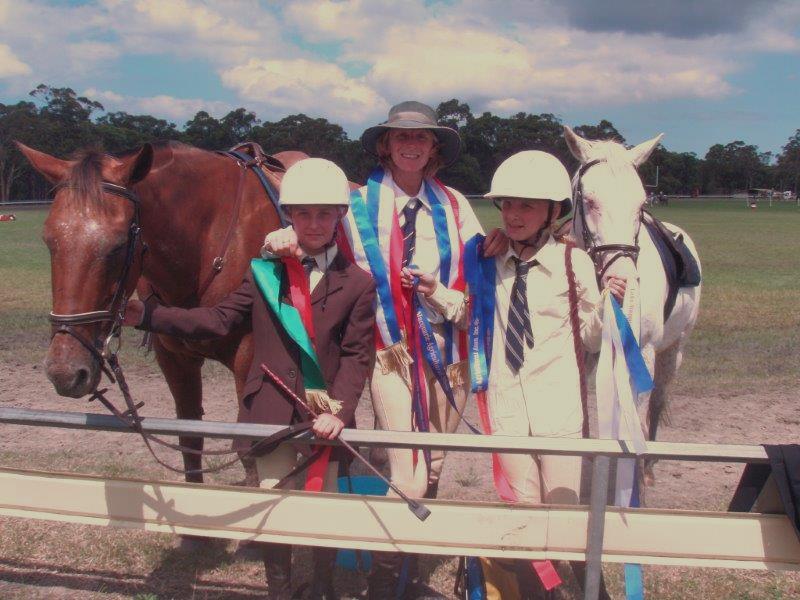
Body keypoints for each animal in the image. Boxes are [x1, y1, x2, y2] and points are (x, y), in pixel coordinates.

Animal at [19, 143, 306, 486]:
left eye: (118, 246)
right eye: (49, 240)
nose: (65, 371)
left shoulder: (249, 361)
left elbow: (252, 455)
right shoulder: (174, 360)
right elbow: (190, 442)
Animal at [564, 126, 700, 482]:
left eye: (641, 205)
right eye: (589, 200)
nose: (623, 280)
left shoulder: (646, 350)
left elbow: (637, 414)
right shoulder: (584, 352)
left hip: (673, 351)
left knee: (656, 402)